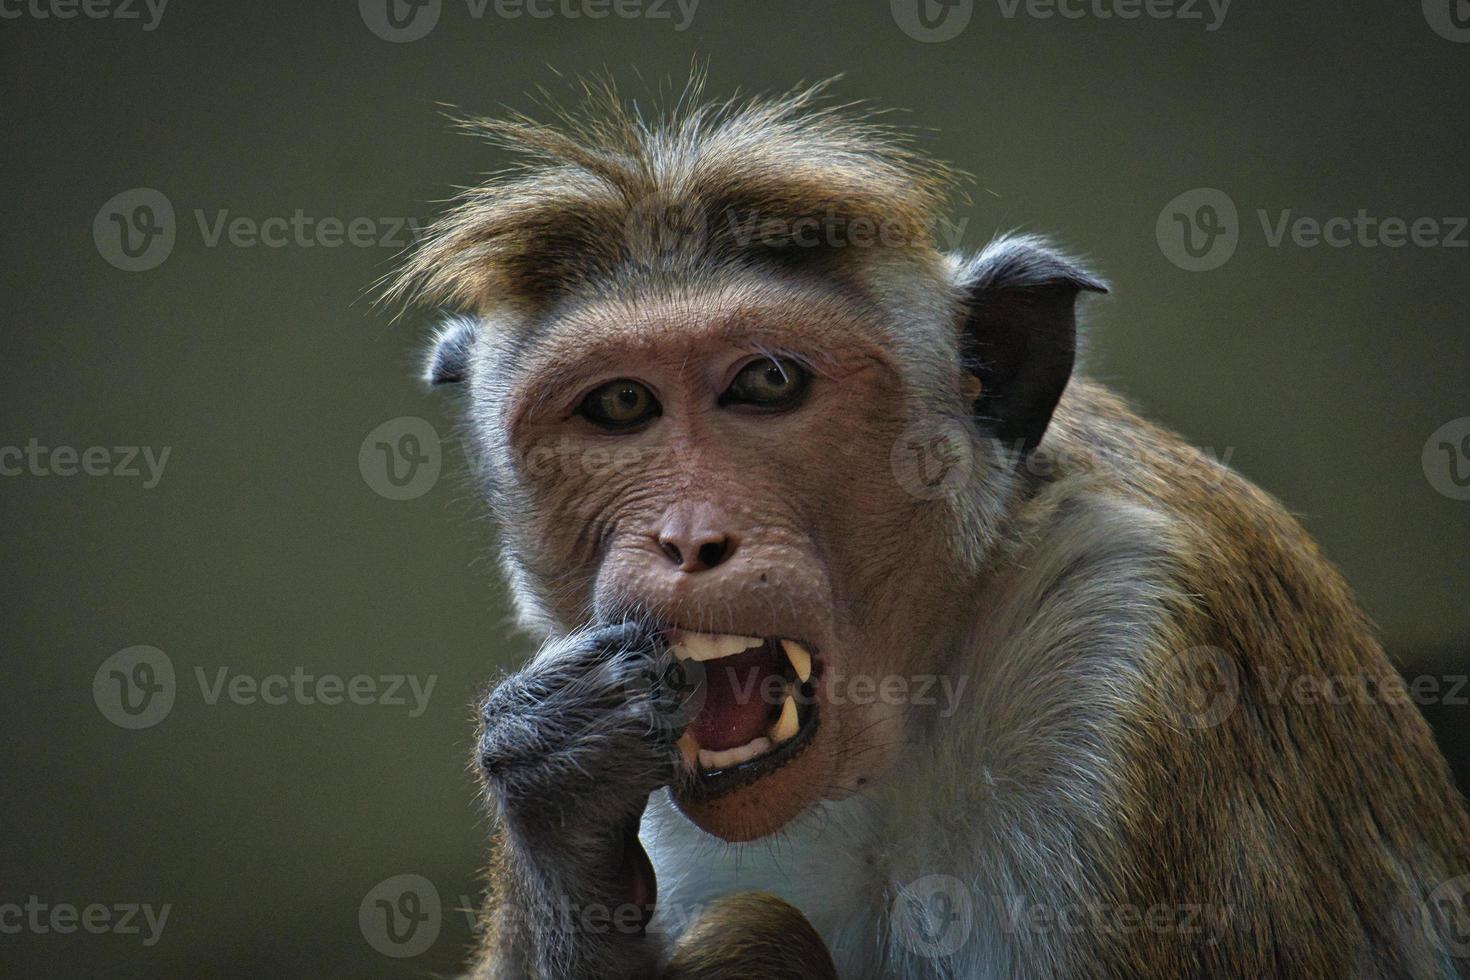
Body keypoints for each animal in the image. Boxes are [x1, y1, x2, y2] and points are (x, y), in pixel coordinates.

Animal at [388, 80, 1470, 975]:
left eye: (766, 382)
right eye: (620, 405)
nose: (689, 539)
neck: (907, 712)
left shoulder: (1131, 649)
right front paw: (555, 786)